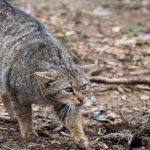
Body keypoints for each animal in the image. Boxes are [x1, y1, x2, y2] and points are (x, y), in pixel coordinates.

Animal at [0, 0, 95, 149]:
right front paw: (28, 131)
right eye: (68, 89)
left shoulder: (65, 105)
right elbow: (25, 114)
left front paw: (79, 137)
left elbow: (74, 120)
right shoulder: (15, 90)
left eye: (84, 86)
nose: (82, 99)